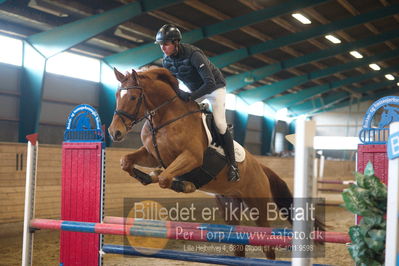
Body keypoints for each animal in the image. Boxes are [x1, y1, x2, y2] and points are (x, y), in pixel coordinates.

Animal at [107, 67, 324, 260]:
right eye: (117, 95)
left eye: (133, 97)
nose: (114, 132)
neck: (166, 118)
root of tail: (261, 168)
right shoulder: (152, 155)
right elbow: (126, 161)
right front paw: (146, 176)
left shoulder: (192, 157)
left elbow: (164, 178)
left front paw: (183, 184)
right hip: (229, 206)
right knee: (239, 246)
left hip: (258, 205)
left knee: (267, 245)